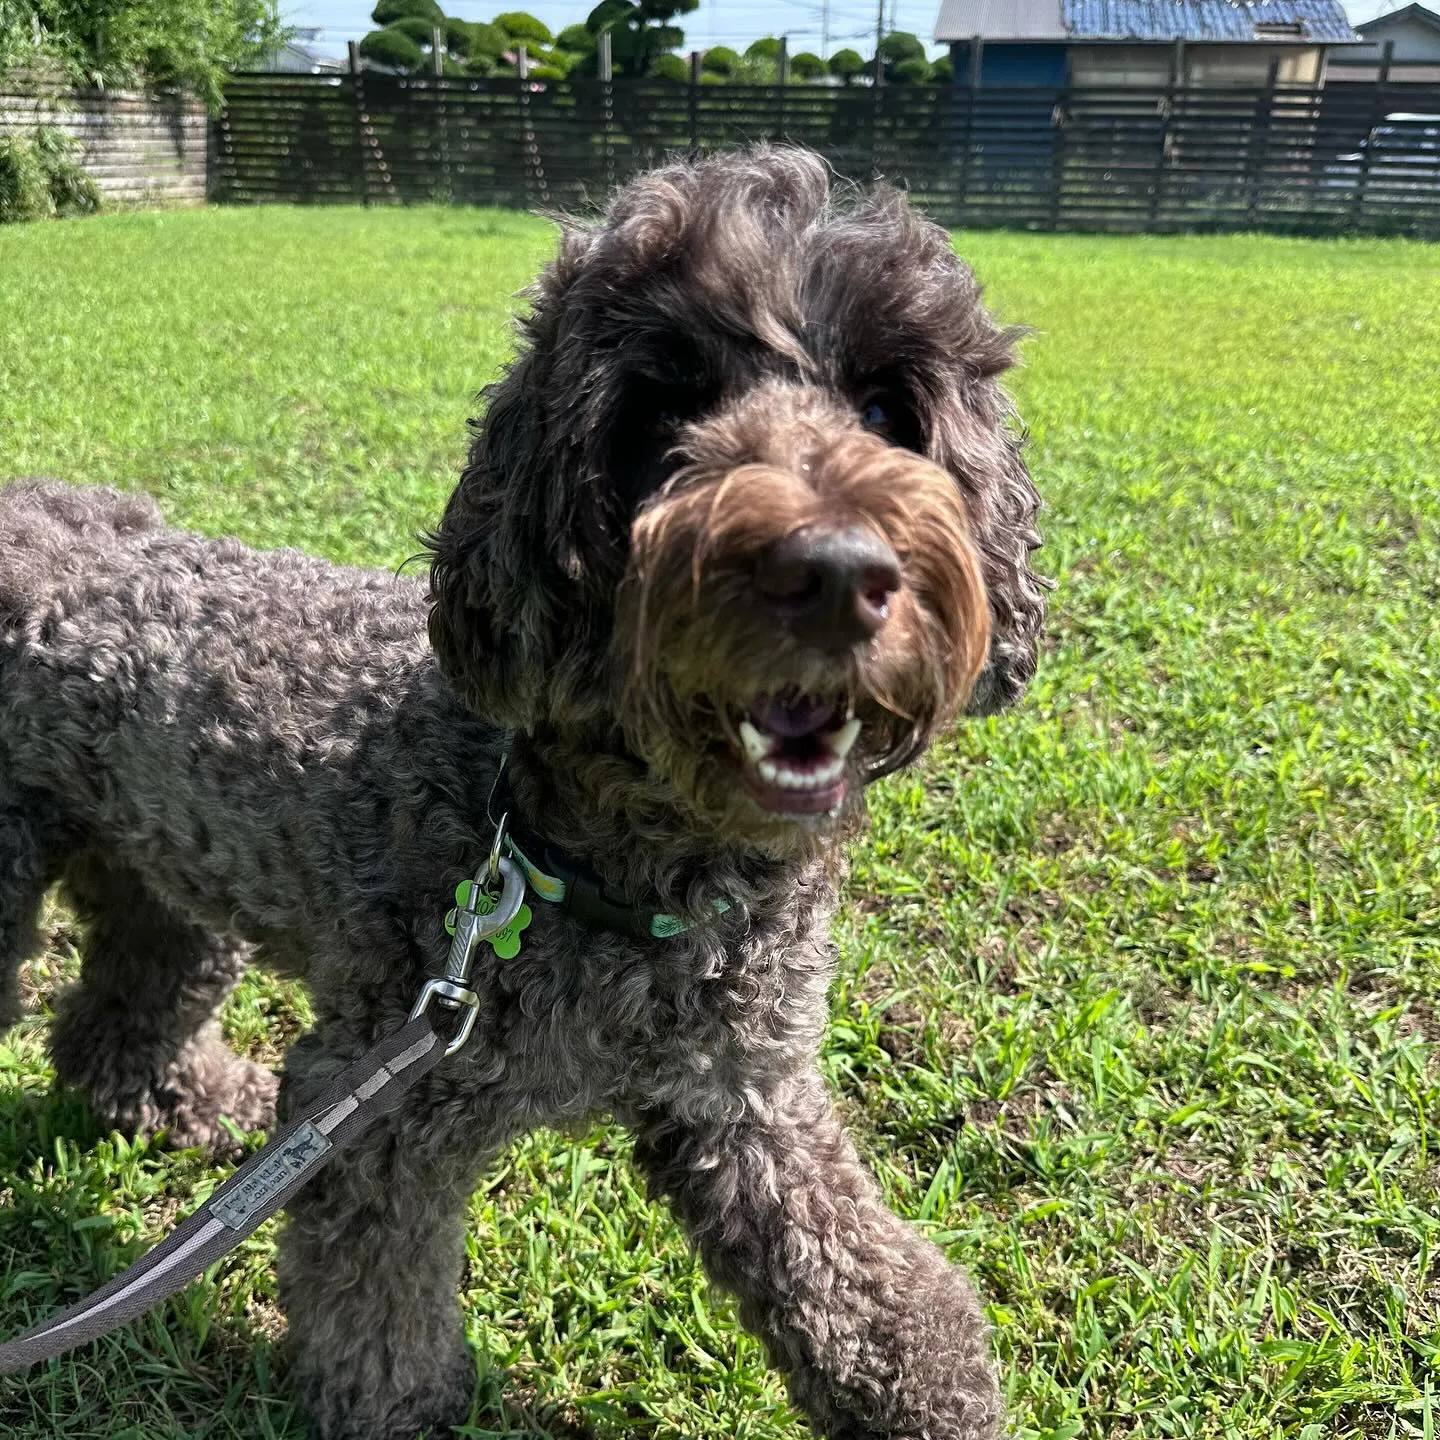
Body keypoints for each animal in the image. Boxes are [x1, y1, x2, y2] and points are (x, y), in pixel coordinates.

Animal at [0, 149, 1036, 1440]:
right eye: (660, 413)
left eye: (893, 408)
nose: (836, 570)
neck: (571, 852)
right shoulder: (379, 1103)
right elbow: (377, 1307)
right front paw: (402, 1408)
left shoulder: (742, 1092)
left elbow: (848, 1271)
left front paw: (929, 1393)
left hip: (156, 869)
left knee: (121, 1016)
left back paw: (190, 1107)